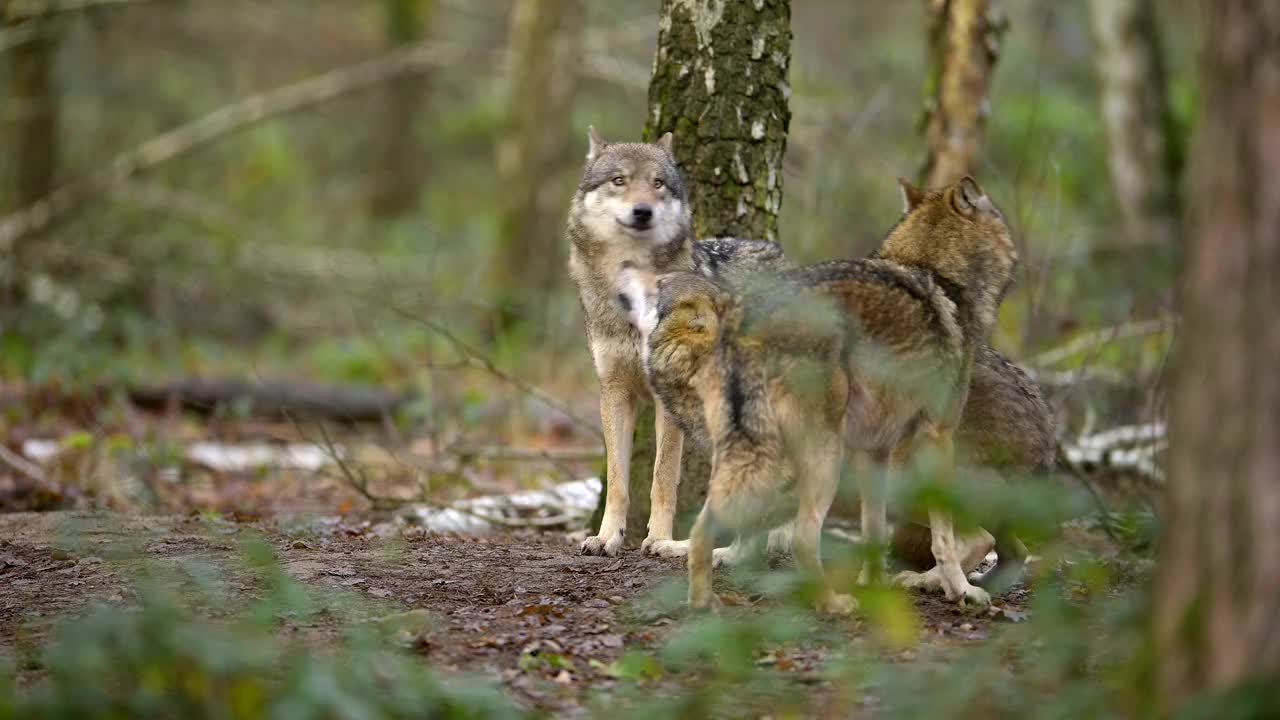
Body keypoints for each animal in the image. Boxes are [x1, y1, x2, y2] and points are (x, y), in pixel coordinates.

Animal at [619, 176, 1018, 607]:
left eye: (659, 287)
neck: (934, 274)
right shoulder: (934, 435)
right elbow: (937, 535)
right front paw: (954, 588)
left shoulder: (875, 450)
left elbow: (875, 532)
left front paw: (875, 585)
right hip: (833, 462)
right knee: (803, 538)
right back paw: (842, 600)